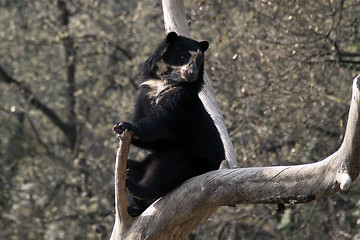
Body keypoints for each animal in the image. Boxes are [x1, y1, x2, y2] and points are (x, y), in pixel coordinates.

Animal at [112, 31, 225, 216]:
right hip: (148, 162)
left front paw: (126, 125)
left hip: (198, 163)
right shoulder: (146, 94)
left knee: (169, 165)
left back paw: (135, 187)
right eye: (183, 56)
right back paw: (133, 206)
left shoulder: (180, 99)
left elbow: (162, 120)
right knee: (132, 165)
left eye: (198, 61)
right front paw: (118, 129)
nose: (192, 72)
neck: (165, 83)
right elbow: (153, 139)